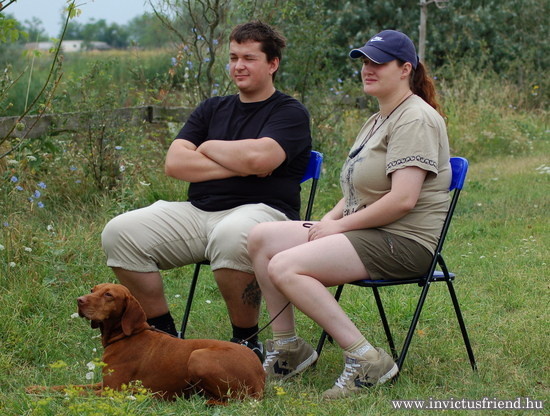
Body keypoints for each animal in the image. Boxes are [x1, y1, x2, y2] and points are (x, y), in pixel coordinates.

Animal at [28, 282, 266, 404]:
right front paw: (36, 388)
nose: (79, 300)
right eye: (92, 290)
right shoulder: (103, 384)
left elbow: (74, 392)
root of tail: (260, 376)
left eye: (108, 295)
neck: (127, 334)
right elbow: (67, 386)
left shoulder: (111, 390)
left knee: (232, 399)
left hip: (198, 356)